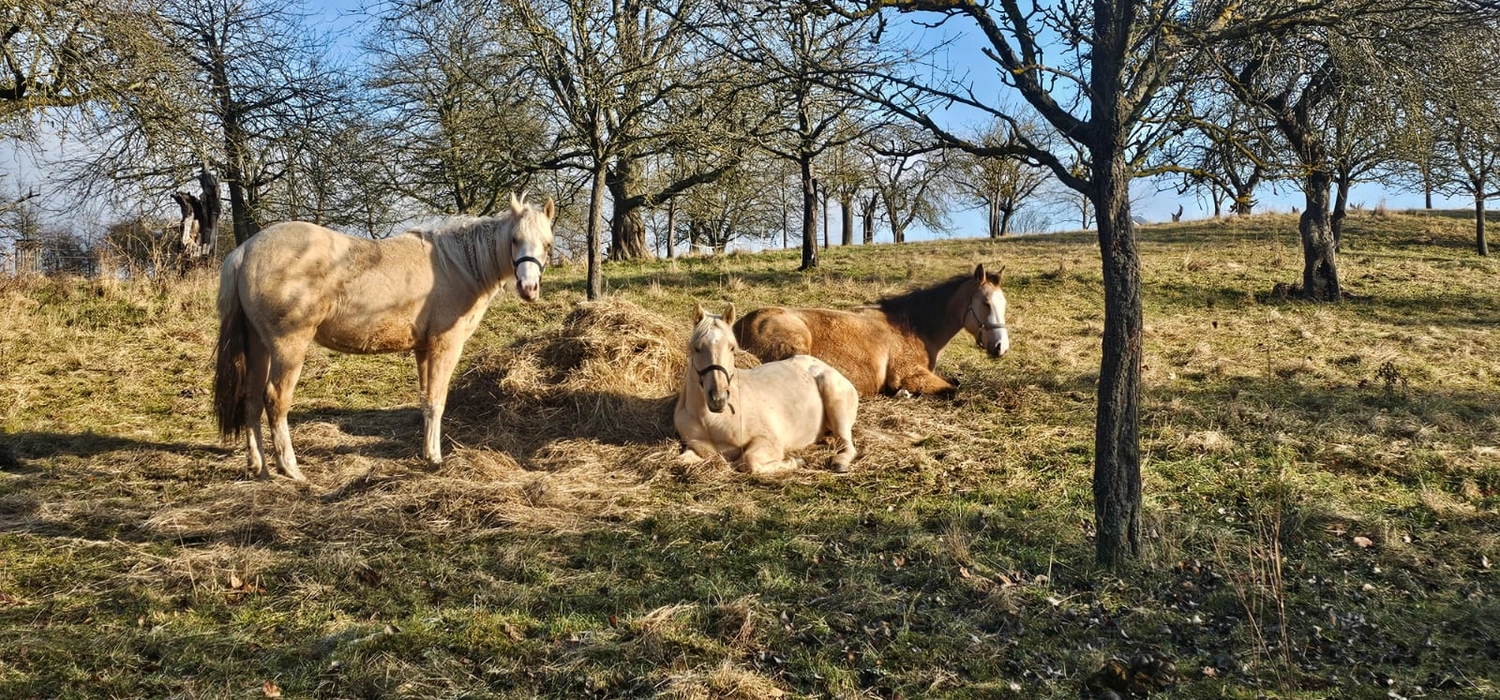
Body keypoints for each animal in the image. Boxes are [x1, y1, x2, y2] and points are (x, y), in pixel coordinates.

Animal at [213, 193, 557, 480]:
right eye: (514, 239)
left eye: (548, 244)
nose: (529, 288)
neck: (455, 267)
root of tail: (244, 251)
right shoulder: (446, 345)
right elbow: (437, 401)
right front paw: (436, 458)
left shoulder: (423, 349)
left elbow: (425, 400)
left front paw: (426, 452)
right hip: (288, 348)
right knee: (275, 400)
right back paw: (290, 468)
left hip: (258, 345)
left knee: (251, 400)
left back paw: (258, 467)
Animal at [675, 303, 859, 474]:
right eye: (697, 348)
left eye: (732, 347)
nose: (718, 399)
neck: (710, 420)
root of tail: (823, 365)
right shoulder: (695, 447)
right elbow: (681, 460)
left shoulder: (768, 441)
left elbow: (748, 461)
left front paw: (797, 461)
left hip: (837, 407)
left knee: (847, 444)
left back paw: (839, 463)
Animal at [733, 263, 1009, 397]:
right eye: (985, 303)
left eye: (1003, 303)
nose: (1001, 347)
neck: (911, 327)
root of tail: (736, 327)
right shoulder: (910, 375)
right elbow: (953, 389)